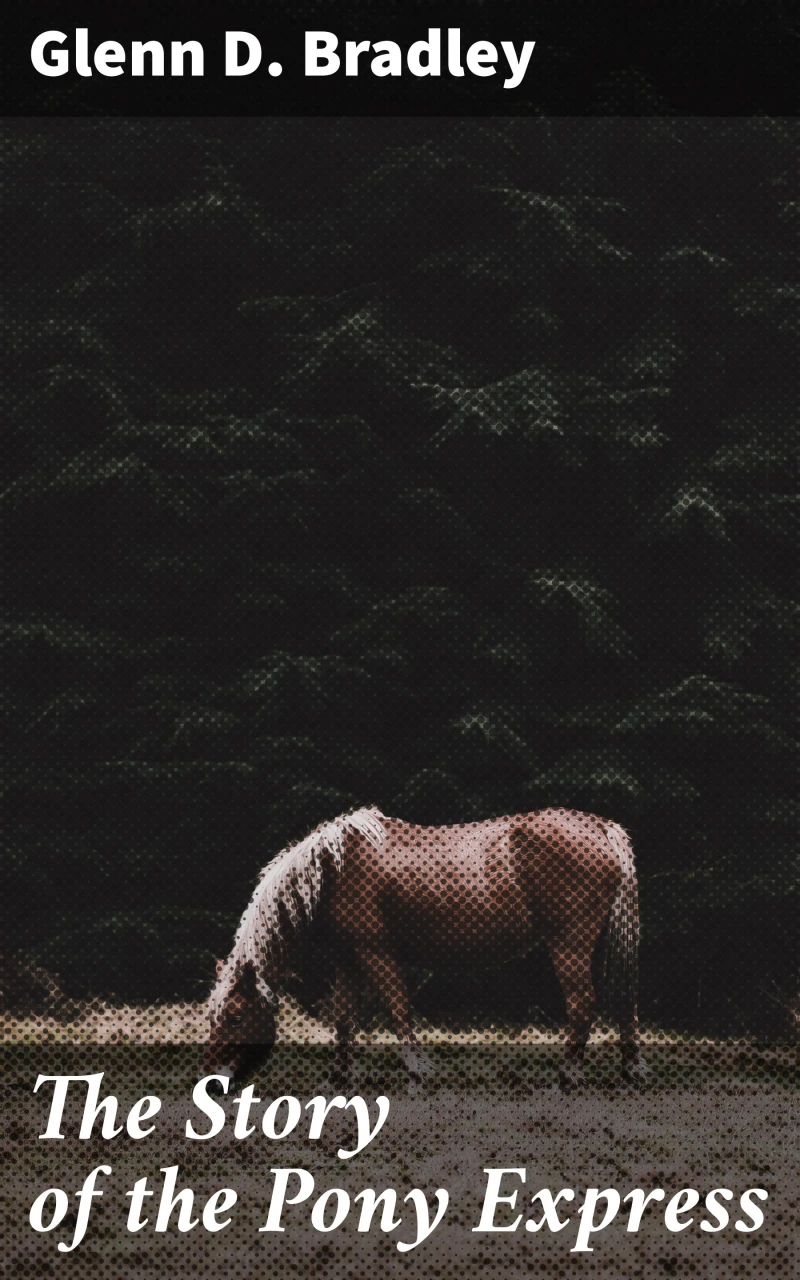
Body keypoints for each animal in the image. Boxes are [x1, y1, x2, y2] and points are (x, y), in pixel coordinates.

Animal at [202, 805, 648, 1090]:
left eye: (236, 1017)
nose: (211, 1084)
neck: (333, 870)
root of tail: (599, 826)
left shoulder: (376, 954)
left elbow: (399, 1011)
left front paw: (418, 1073)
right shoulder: (348, 961)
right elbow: (343, 1020)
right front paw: (337, 1080)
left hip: (569, 942)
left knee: (582, 1004)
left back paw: (567, 1077)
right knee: (622, 1002)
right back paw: (630, 1071)